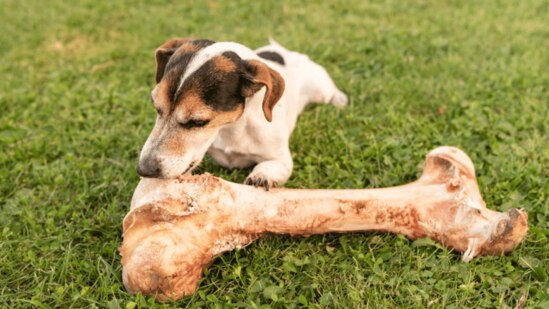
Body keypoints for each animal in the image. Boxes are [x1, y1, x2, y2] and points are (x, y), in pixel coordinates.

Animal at [136, 37, 346, 189]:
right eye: (156, 107)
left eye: (198, 122)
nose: (143, 169)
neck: (231, 128)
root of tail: (281, 50)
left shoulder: (281, 159)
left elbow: (269, 165)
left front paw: (261, 176)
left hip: (321, 88)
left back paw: (340, 100)